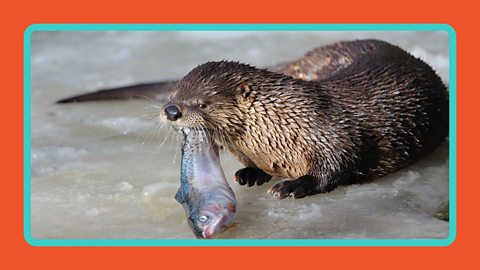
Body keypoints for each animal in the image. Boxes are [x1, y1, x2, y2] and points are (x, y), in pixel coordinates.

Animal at [57, 39, 450, 198]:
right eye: (176, 92)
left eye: (203, 102)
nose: (171, 111)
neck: (283, 125)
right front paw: (251, 174)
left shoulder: (331, 134)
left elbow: (335, 167)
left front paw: (292, 186)